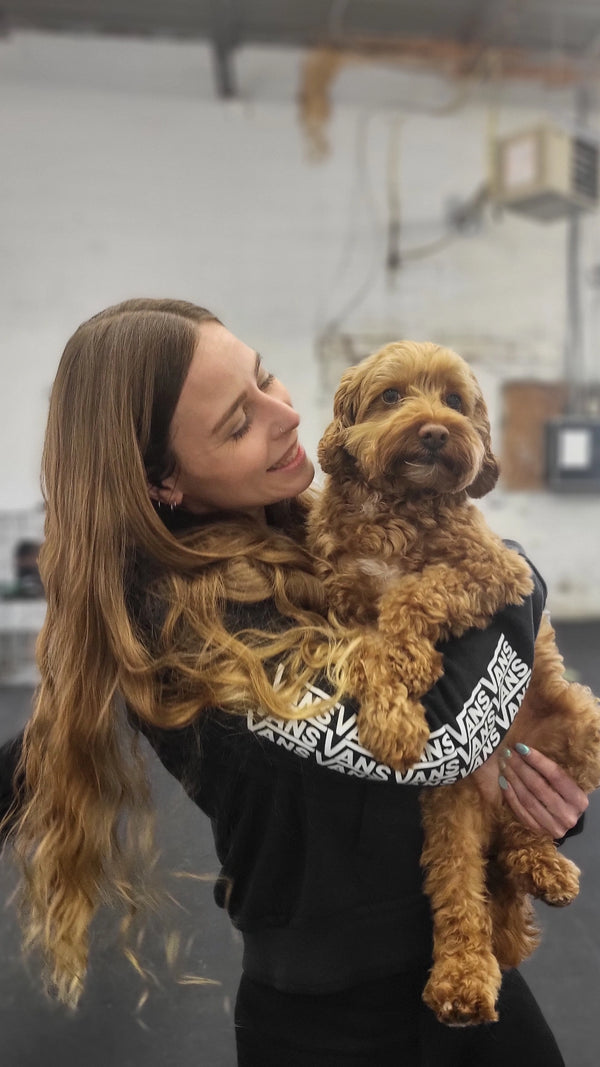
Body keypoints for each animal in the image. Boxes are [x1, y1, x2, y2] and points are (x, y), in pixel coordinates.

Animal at [307, 339, 597, 1024]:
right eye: (392, 396)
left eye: (455, 401)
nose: (436, 432)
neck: (396, 506)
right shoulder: (341, 608)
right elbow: (367, 651)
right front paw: (395, 718)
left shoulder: (494, 570)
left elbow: (416, 591)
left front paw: (410, 661)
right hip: (450, 813)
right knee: (463, 895)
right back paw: (461, 982)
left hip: (579, 726)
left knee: (533, 825)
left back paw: (545, 866)